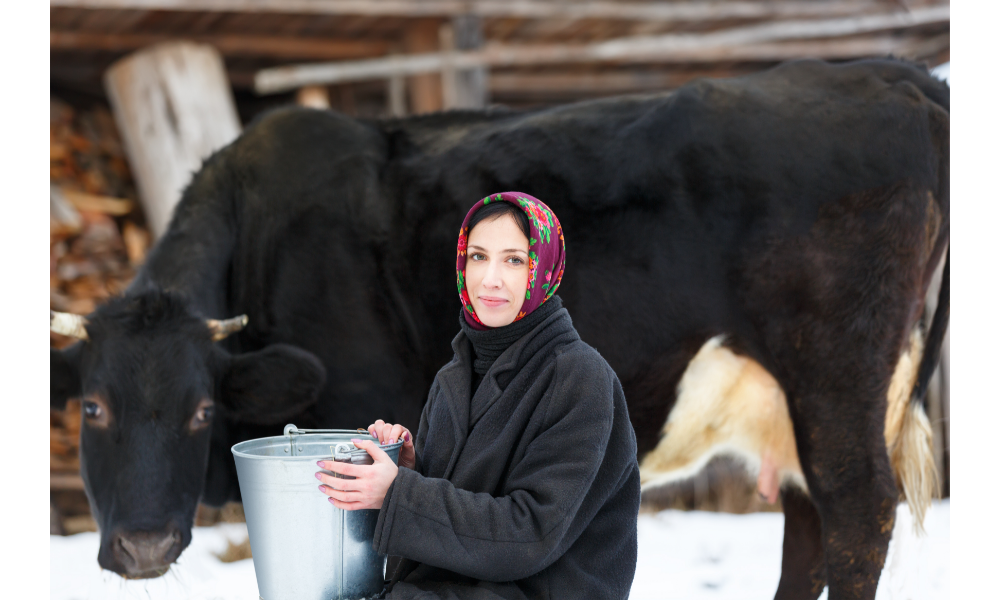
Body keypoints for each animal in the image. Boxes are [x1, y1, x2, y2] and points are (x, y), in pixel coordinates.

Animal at [52, 57, 944, 600]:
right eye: (92, 408)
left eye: (202, 412)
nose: (141, 547)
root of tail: (891, 75)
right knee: (808, 520)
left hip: (835, 373)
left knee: (856, 509)